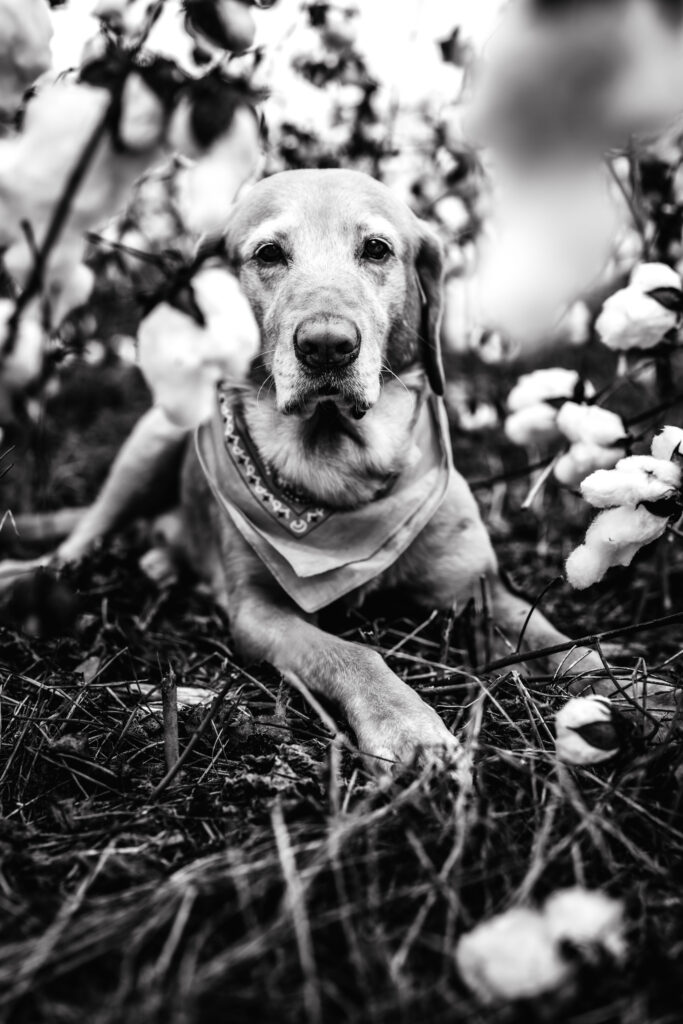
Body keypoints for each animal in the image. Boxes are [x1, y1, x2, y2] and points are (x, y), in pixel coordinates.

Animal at [1, 169, 602, 770]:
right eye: (269, 253)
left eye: (377, 249)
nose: (327, 346)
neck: (340, 470)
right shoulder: (258, 614)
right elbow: (354, 654)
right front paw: (407, 726)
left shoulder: (483, 590)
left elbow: (572, 650)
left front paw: (620, 700)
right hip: (154, 437)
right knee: (80, 539)